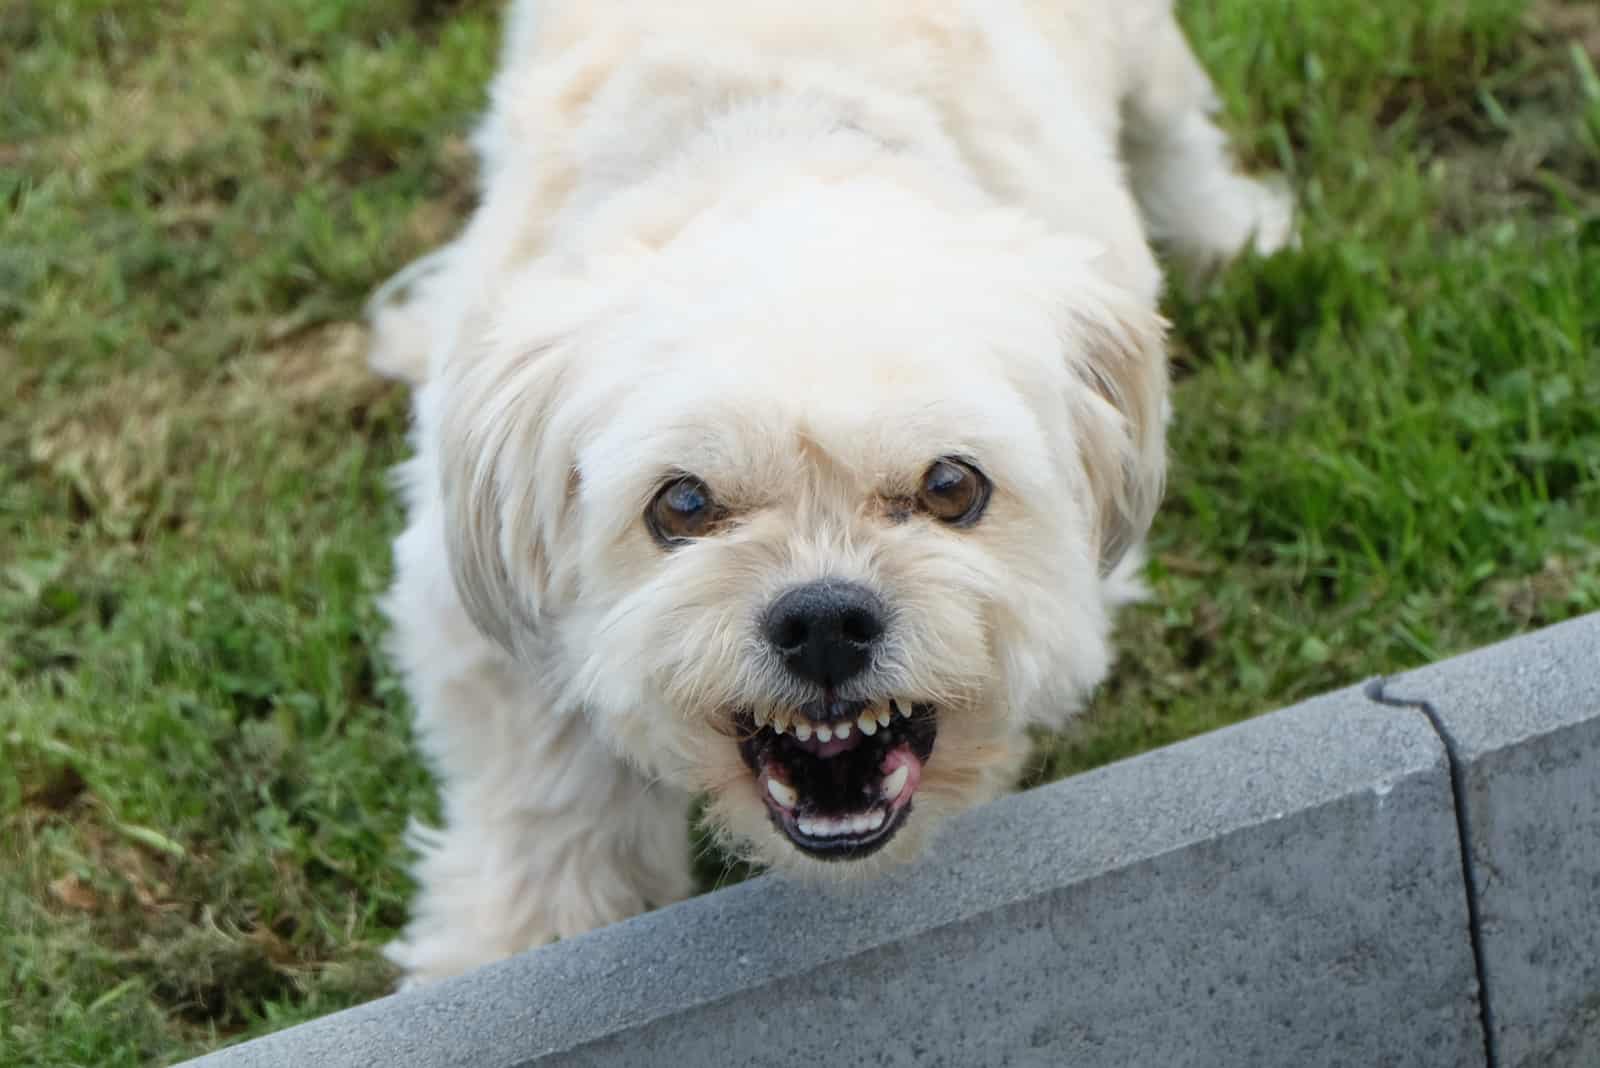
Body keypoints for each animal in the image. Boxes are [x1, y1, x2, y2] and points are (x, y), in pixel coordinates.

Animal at [368, 0, 1292, 984]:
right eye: (682, 505)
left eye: (951, 486)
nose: (822, 622)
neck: (780, 139)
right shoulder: (473, 596)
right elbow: (544, 800)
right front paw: (516, 948)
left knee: (1175, 128)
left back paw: (1230, 233)